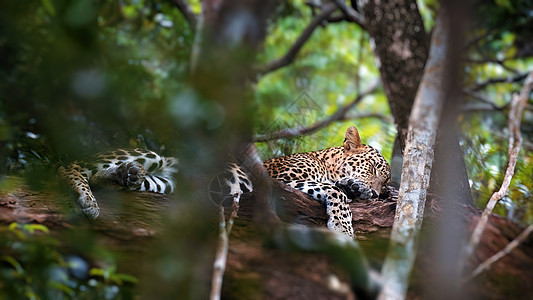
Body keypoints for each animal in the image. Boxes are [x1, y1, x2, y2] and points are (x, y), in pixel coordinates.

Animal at [59, 125, 390, 238]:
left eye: (386, 182)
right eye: (374, 168)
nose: (377, 194)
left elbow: (341, 189)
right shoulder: (280, 180)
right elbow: (336, 192)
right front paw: (344, 228)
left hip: (164, 183)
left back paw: (125, 175)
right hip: (149, 154)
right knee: (68, 166)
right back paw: (88, 200)